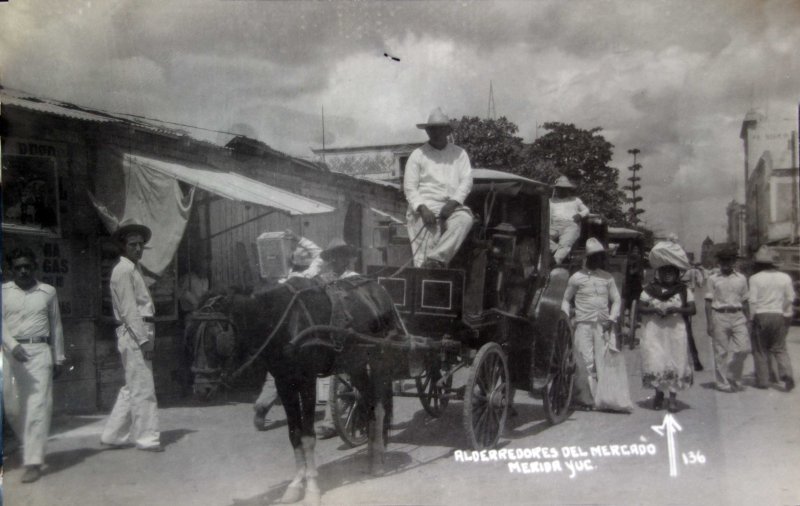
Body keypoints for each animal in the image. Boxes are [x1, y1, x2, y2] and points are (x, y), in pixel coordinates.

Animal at [186, 276, 400, 506]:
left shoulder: (307, 381)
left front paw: (312, 489)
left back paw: (378, 461)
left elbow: (307, 436)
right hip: (355, 364)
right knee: (367, 403)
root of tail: (378, 288)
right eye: (191, 336)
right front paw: (295, 486)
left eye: (216, 337)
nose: (202, 389)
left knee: (379, 408)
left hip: (379, 359)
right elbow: (294, 435)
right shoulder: (283, 382)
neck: (283, 321)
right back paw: (370, 455)